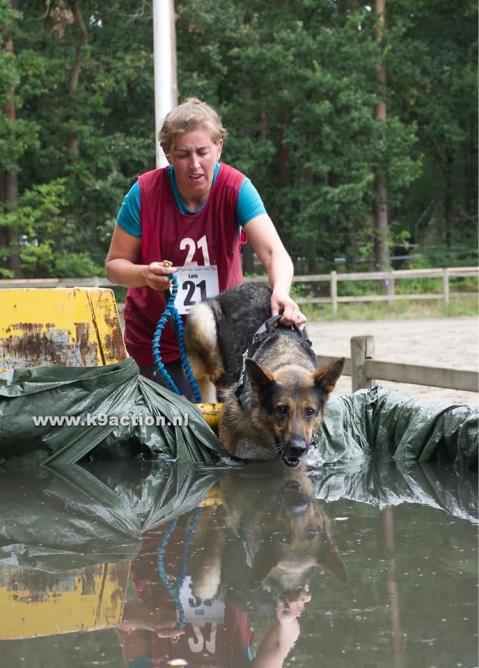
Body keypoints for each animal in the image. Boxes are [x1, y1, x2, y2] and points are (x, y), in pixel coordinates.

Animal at [184, 284, 344, 468]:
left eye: (310, 411)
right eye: (281, 409)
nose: (298, 448)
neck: (288, 359)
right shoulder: (228, 428)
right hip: (202, 317)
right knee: (209, 373)